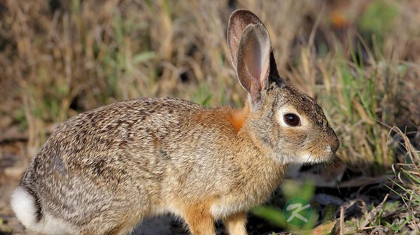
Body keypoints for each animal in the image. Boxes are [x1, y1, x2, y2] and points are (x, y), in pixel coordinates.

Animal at [10, 9, 338, 235]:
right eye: (292, 119)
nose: (333, 146)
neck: (253, 142)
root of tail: (40, 198)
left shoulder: (235, 210)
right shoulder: (195, 203)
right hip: (121, 207)